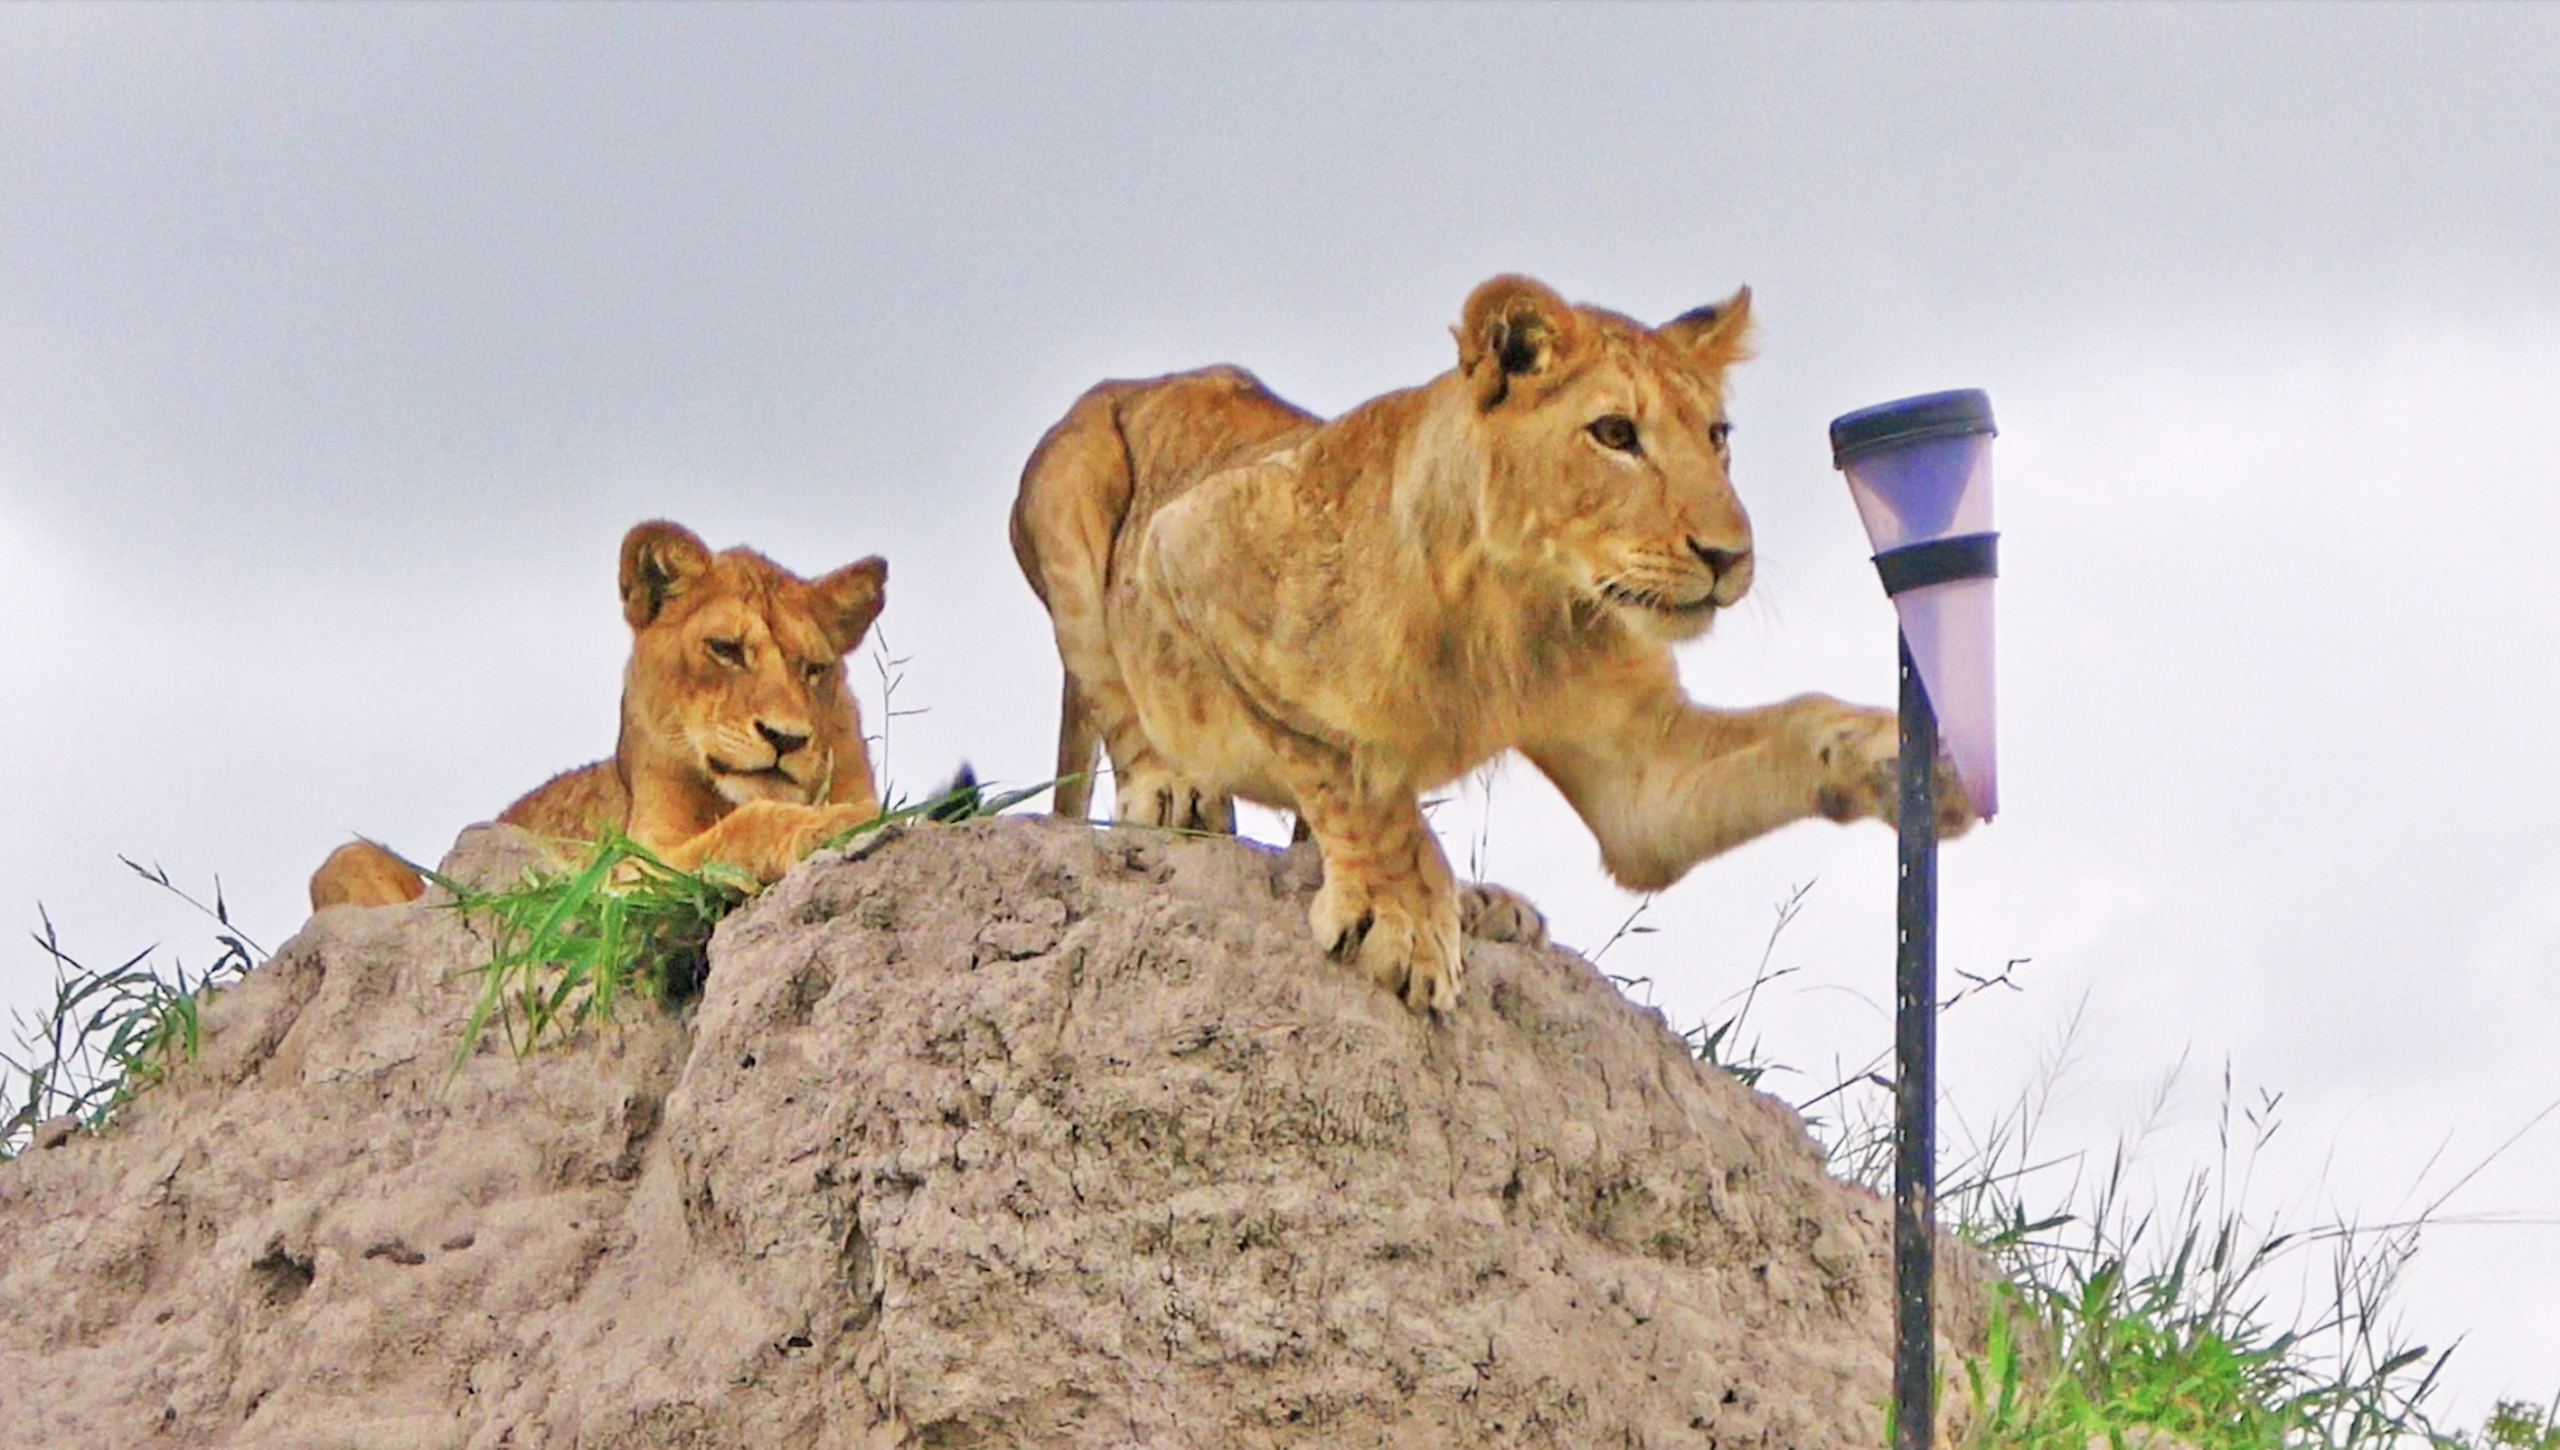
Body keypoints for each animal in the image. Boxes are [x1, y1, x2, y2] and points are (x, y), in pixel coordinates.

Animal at [309, 520, 890, 910]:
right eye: (724, 649)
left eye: (813, 668)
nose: (786, 739)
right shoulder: (623, 875)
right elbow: (746, 825)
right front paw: (832, 824)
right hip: (348, 857)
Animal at [1010, 273, 1974, 1014]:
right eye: (1615, 434)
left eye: (1717, 436)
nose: (1727, 556)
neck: (1519, 607)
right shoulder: (1191, 541)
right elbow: (1355, 770)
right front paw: (1402, 916)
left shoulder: (1644, 778)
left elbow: (1792, 725)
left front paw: (1909, 764)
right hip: (1074, 488)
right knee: (1113, 689)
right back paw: (1175, 793)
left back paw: (1483, 902)